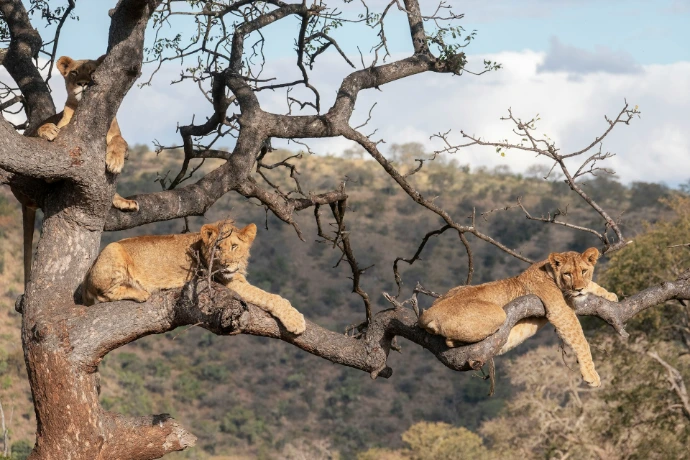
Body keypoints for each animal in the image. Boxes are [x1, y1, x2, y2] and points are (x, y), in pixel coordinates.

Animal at [83, 220, 307, 335]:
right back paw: (140, 292)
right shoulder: (230, 282)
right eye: (218, 248)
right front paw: (295, 320)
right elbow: (271, 297)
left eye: (234, 246)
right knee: (104, 294)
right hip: (113, 249)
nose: (226, 264)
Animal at [418, 248, 618, 387]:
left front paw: (610, 295)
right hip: (499, 314)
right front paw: (591, 375)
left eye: (584, 271)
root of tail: (430, 311)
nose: (578, 289)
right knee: (450, 340)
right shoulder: (560, 311)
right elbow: (581, 342)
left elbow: (593, 285)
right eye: (567, 274)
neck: (549, 270)